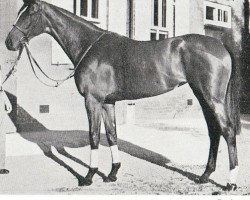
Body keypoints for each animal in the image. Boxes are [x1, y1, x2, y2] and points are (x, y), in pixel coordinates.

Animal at [5, 0, 240, 191]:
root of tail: (220, 44)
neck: (90, 47)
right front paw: (112, 174)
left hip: (212, 98)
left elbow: (93, 136)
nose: (9, 42)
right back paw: (204, 176)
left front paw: (89, 177)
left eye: (29, 13)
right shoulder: (108, 102)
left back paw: (230, 182)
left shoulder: (93, 101)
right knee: (214, 131)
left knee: (227, 131)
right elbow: (111, 135)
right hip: (202, 96)